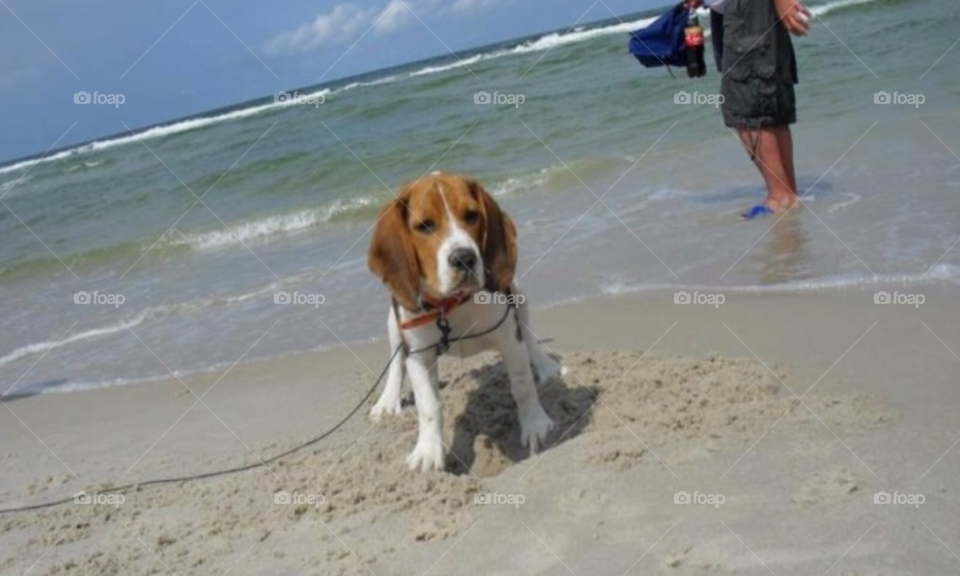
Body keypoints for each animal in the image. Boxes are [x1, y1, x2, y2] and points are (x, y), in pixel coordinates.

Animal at [368, 171, 564, 472]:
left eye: (472, 215)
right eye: (424, 226)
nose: (464, 258)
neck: (451, 306)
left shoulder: (509, 338)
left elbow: (522, 385)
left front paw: (535, 424)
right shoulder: (419, 354)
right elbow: (429, 406)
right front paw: (428, 451)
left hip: (519, 295)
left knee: (529, 336)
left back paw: (544, 366)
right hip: (393, 320)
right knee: (396, 361)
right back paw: (388, 400)